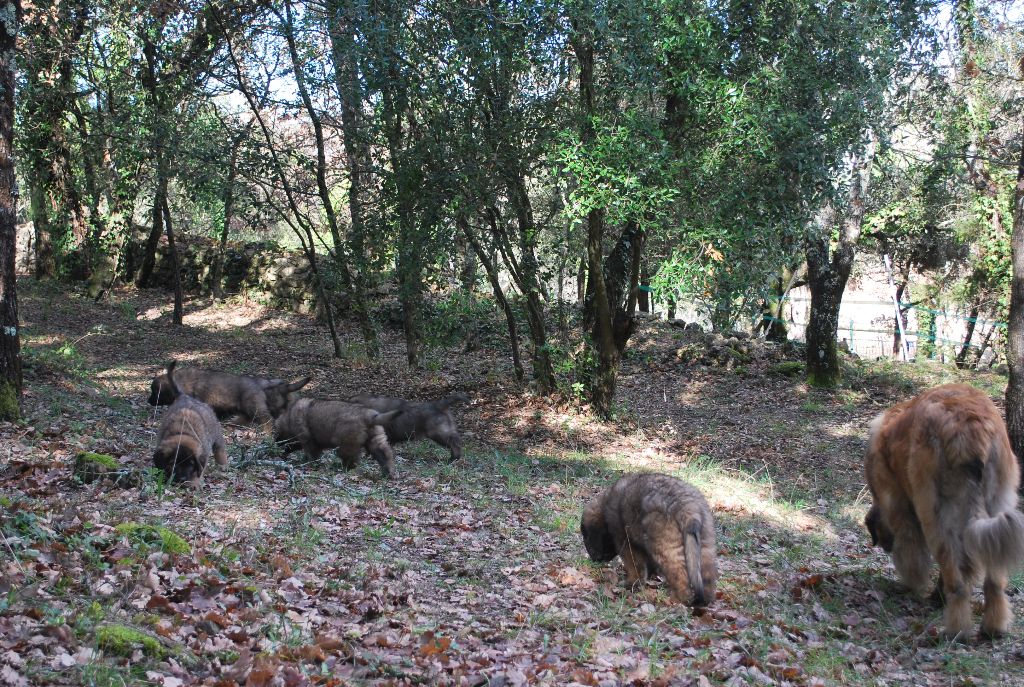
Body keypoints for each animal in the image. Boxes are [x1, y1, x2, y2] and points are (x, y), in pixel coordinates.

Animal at [147, 360, 307, 430]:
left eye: (154, 391)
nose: (149, 401)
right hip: (246, 410)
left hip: (253, 407)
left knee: (266, 419)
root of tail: (258, 382)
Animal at [581, 473, 716, 606]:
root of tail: (689, 506)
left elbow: (634, 564)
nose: (594, 559)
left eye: (587, 538)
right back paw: (704, 600)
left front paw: (632, 583)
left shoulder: (625, 540)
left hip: (664, 543)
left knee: (679, 572)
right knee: (706, 574)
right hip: (704, 543)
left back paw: (680, 598)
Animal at [864, 380, 1024, 638]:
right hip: (1000, 502)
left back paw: (956, 628)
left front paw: (911, 585)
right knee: (994, 581)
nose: (884, 546)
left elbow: (911, 551)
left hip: (936, 512)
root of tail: (972, 425)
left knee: (956, 580)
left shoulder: (898, 506)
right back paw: (993, 627)